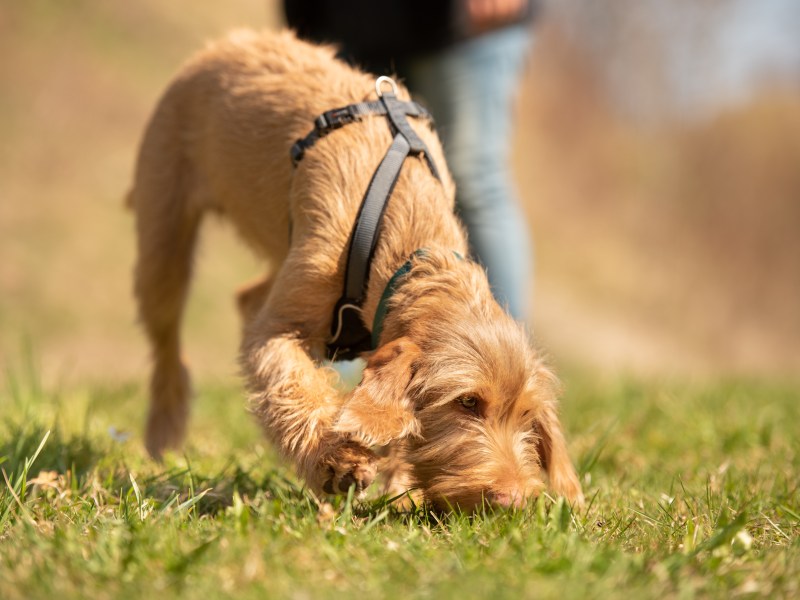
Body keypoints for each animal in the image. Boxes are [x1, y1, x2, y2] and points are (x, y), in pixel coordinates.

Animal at [130, 29, 580, 510]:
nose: (512, 500)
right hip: (163, 235)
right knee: (168, 339)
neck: (412, 248)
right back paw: (163, 431)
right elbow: (292, 385)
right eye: (468, 402)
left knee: (248, 297)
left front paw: (399, 490)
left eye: (526, 414)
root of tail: (230, 40)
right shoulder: (277, 329)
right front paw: (334, 460)